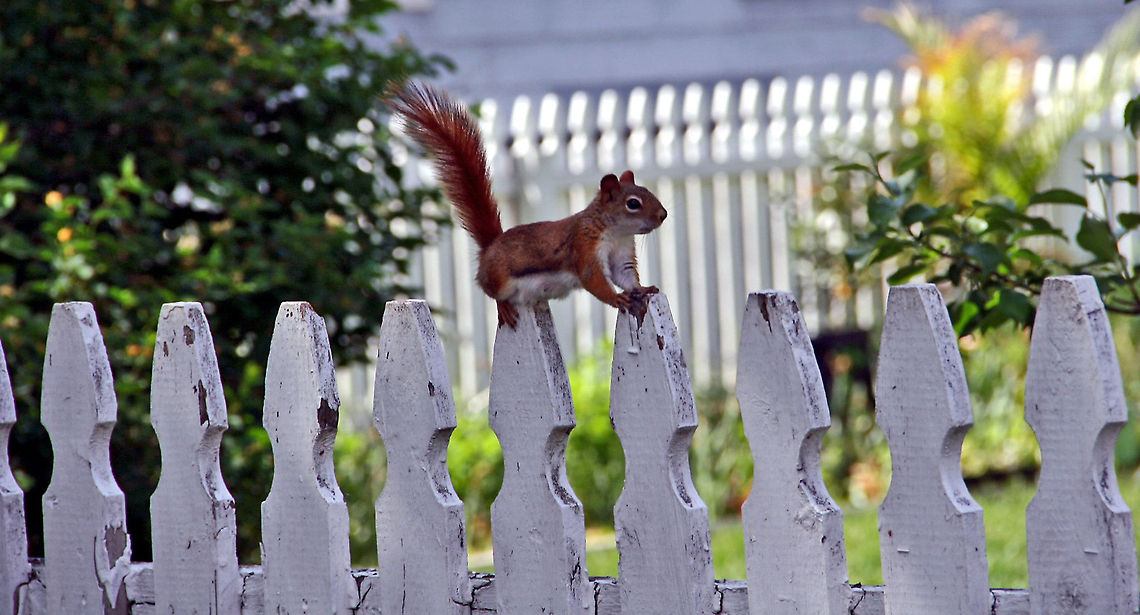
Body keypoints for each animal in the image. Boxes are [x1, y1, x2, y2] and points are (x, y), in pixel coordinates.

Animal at [390, 82, 668, 329]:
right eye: (633, 203)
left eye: (649, 192)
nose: (663, 215)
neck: (616, 232)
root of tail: (490, 248)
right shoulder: (584, 246)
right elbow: (593, 280)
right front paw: (617, 298)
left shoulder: (621, 255)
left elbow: (626, 277)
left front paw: (643, 288)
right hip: (500, 279)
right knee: (489, 290)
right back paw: (503, 306)